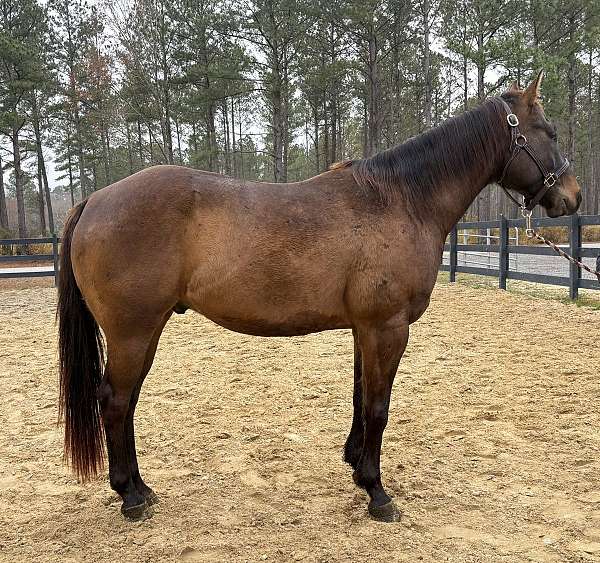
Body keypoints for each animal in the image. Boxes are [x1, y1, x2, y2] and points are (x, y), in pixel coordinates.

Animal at [57, 72, 580, 524]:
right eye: (548, 131)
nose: (572, 198)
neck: (400, 201)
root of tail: (94, 200)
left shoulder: (365, 328)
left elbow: (360, 396)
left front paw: (355, 465)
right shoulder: (388, 327)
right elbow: (378, 406)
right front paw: (377, 493)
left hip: (144, 332)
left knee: (126, 402)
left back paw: (141, 489)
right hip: (133, 331)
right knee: (116, 401)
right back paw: (129, 497)